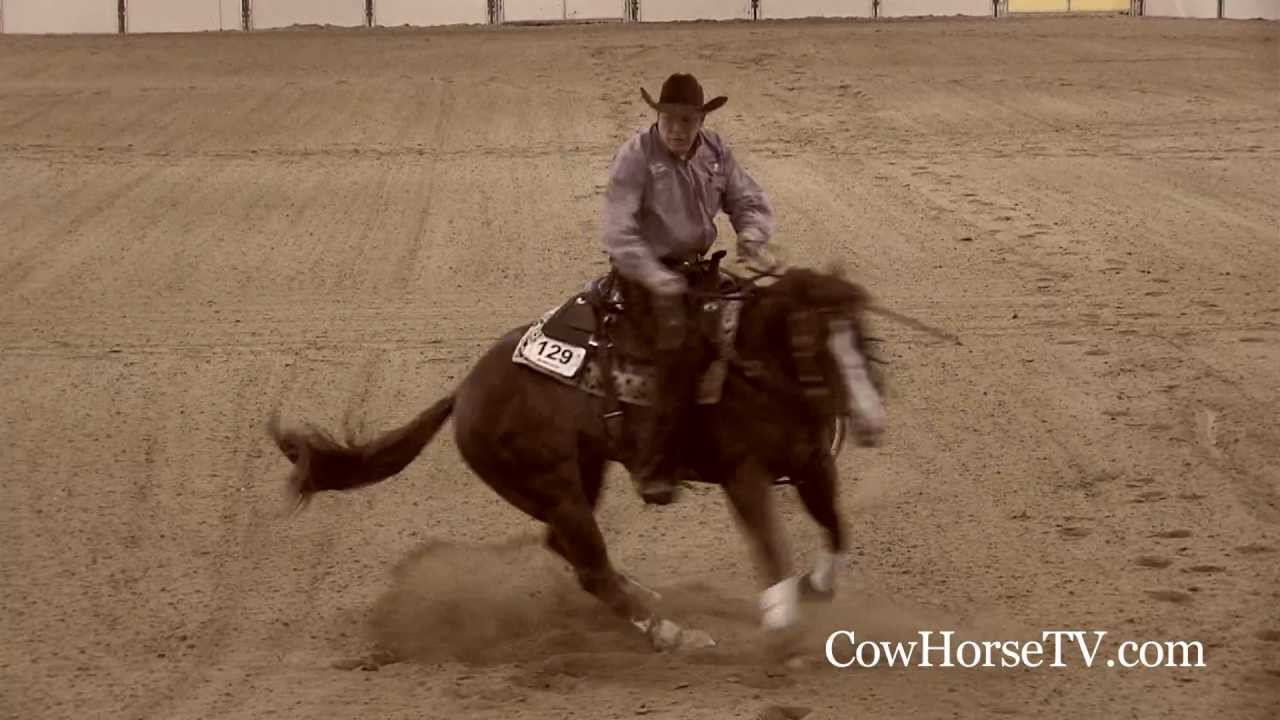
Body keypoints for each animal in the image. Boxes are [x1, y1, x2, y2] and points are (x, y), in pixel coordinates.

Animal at [266, 253, 887, 654]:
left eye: (862, 336)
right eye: (814, 341)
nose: (871, 423)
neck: (751, 371)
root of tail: (464, 393)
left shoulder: (812, 465)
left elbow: (837, 528)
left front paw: (817, 586)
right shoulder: (744, 477)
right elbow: (770, 544)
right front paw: (782, 620)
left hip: (582, 475)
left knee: (565, 548)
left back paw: (646, 596)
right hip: (555, 485)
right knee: (590, 568)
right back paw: (672, 633)